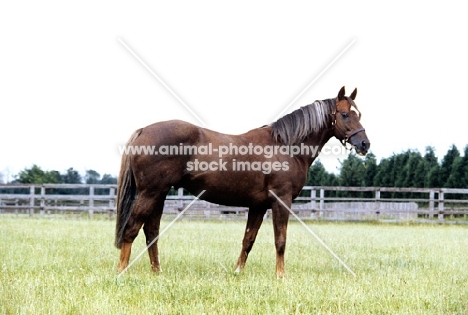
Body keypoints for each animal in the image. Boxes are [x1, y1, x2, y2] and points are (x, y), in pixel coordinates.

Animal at [114, 87, 370, 278]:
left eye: (359, 114)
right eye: (345, 114)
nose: (365, 144)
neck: (287, 146)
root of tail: (144, 130)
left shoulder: (258, 206)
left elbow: (248, 239)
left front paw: (237, 272)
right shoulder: (281, 201)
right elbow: (280, 240)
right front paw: (280, 276)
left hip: (159, 193)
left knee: (151, 232)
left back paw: (157, 272)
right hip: (150, 193)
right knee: (132, 228)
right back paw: (121, 271)